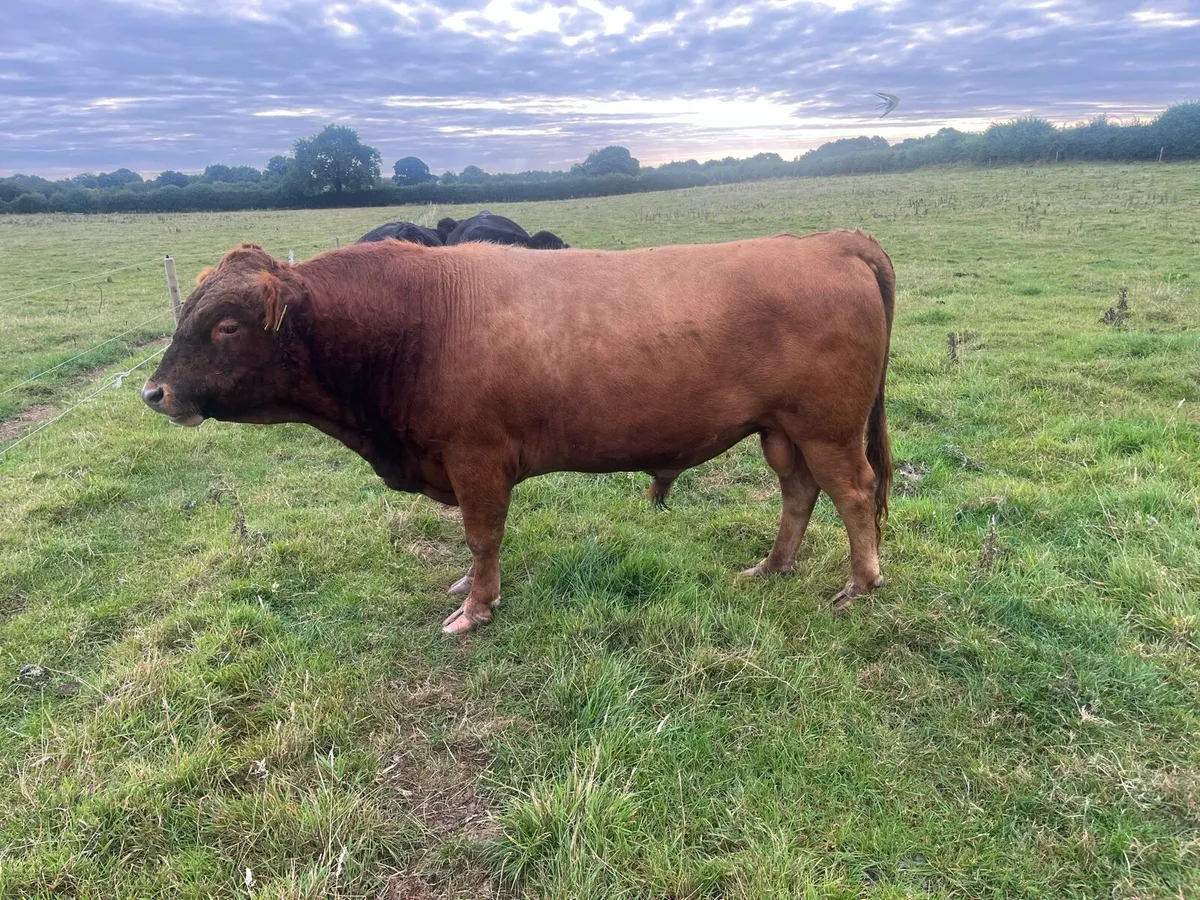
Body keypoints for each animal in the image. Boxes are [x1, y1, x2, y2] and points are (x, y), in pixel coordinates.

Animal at [142, 232, 895, 635]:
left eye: (226, 326)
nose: (155, 392)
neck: (419, 320)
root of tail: (830, 241)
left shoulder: (475, 460)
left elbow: (483, 537)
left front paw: (476, 607)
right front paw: (464, 587)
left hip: (827, 428)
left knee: (854, 494)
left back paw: (860, 585)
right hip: (782, 430)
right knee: (799, 493)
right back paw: (773, 566)